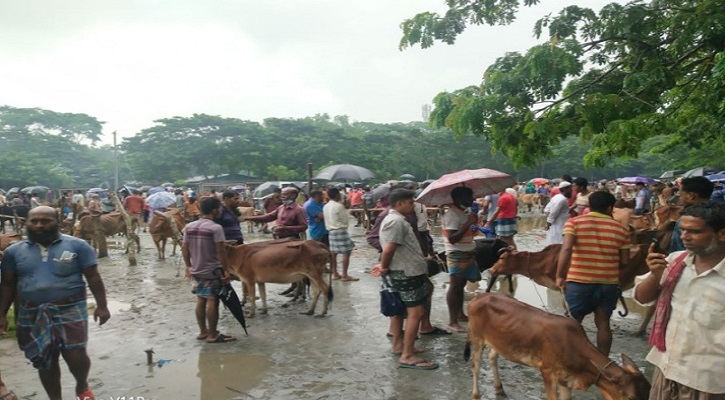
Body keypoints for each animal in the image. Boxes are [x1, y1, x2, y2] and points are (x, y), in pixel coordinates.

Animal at [464, 292, 652, 398]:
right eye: (631, 397)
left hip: (497, 341)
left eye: (648, 393)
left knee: (492, 357)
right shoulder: (547, 372)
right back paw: (476, 394)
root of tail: (478, 297)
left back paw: (499, 389)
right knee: (475, 366)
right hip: (477, 338)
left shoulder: (566, 379)